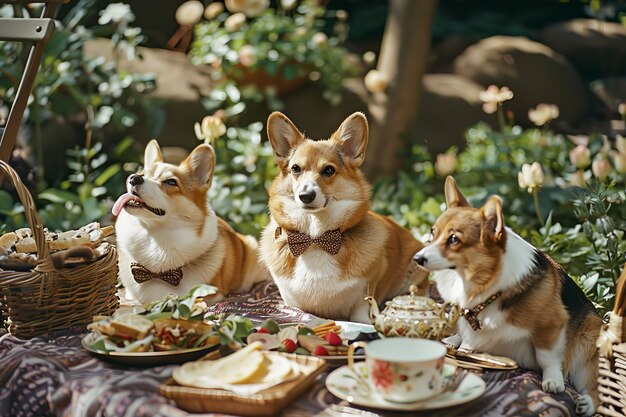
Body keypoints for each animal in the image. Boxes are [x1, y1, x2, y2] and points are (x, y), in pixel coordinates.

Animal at [258, 112, 428, 324]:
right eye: (296, 168)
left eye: (328, 170)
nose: (306, 196)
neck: (315, 238)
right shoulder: (291, 300)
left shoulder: (364, 295)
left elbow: (361, 315)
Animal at [414, 176, 600, 416]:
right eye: (432, 233)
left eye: (454, 239)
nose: (417, 258)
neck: (486, 287)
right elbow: (467, 339)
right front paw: (460, 343)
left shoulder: (551, 325)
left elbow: (546, 356)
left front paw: (553, 380)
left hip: (590, 338)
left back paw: (588, 403)